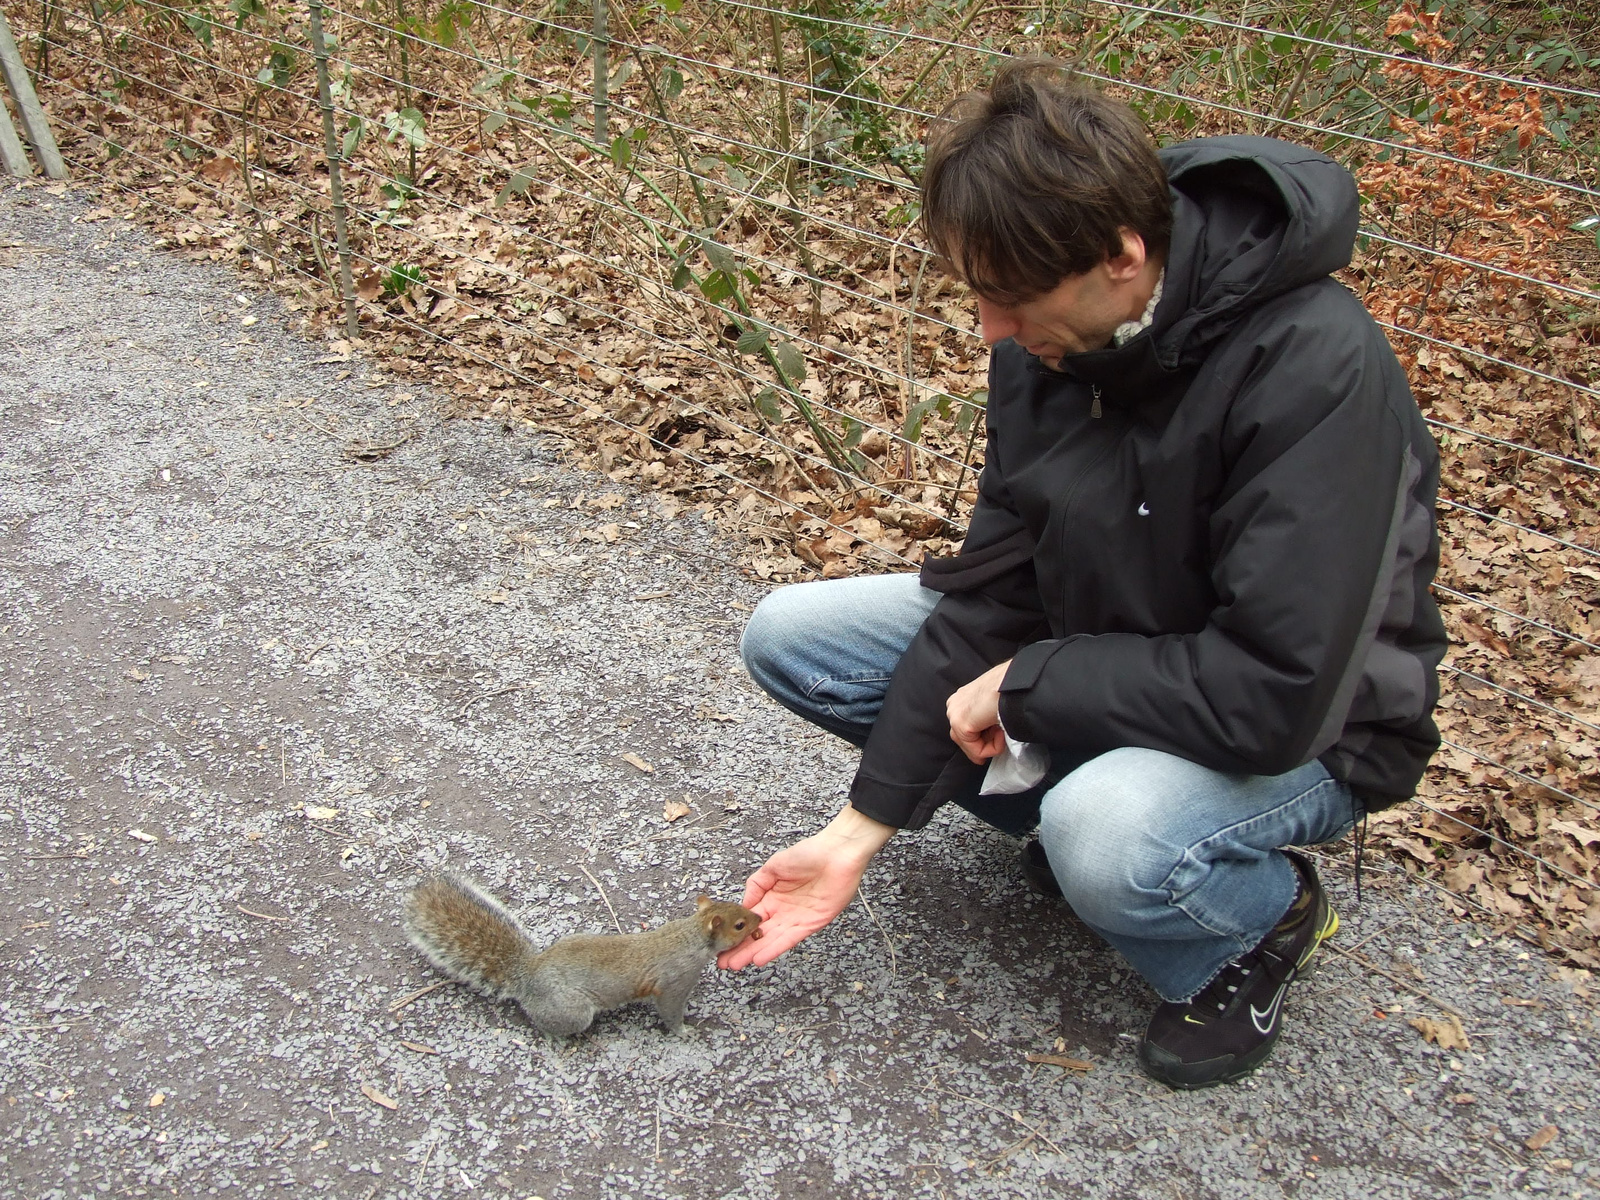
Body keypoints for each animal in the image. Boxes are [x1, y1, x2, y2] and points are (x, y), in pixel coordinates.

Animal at [400, 876, 761, 1036]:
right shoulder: (673, 982)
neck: (690, 935)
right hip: (571, 1011)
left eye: (739, 908)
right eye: (739, 924)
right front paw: (685, 1031)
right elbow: (670, 1011)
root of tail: (527, 976)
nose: (759, 918)